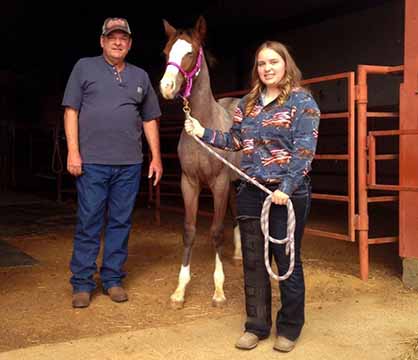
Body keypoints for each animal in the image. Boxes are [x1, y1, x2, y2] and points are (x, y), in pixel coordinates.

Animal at [159, 16, 245, 310]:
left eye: (191, 52)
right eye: (166, 52)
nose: (166, 87)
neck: (204, 126)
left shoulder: (218, 184)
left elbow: (216, 231)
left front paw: (218, 290)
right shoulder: (189, 183)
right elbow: (189, 231)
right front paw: (179, 290)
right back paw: (239, 255)